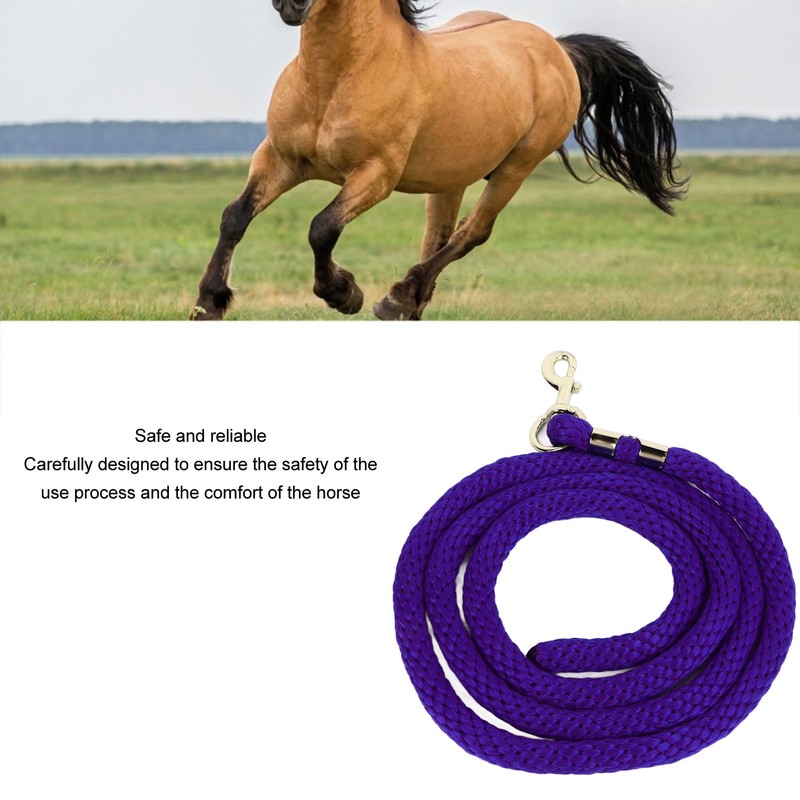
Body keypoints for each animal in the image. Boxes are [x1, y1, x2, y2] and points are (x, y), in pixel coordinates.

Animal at [191, 0, 686, 321]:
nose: (290, 3)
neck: (339, 75)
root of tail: (556, 49)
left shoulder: (376, 174)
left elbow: (322, 228)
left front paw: (343, 293)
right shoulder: (279, 158)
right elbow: (235, 216)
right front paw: (209, 302)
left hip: (516, 168)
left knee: (471, 233)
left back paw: (396, 299)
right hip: (451, 177)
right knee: (438, 237)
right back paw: (409, 303)